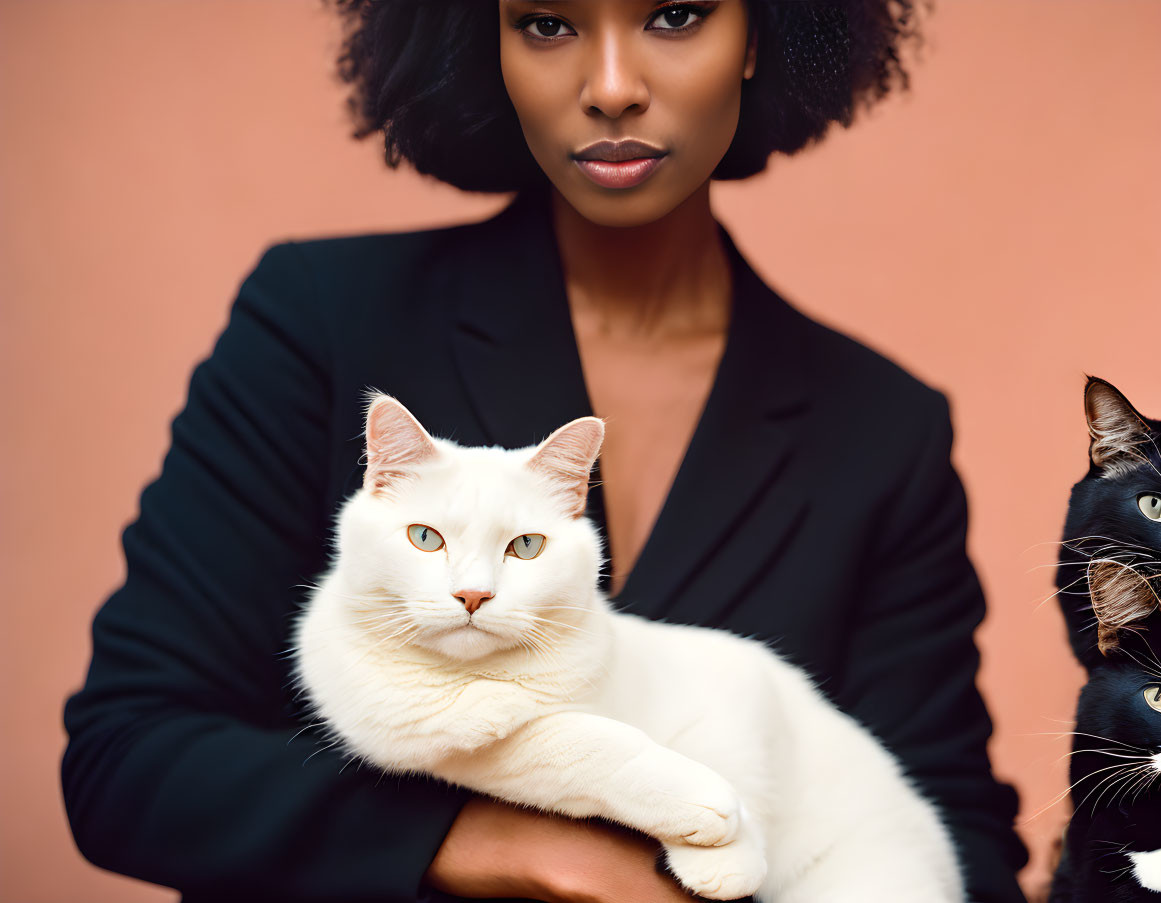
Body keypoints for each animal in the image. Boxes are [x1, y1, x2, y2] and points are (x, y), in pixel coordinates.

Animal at [294, 396, 965, 900]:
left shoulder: (742, 684)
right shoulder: (422, 740)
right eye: (425, 538)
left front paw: (729, 848)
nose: (472, 595)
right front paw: (703, 810)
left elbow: (728, 762)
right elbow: (572, 746)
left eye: (526, 547)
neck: (481, 680)